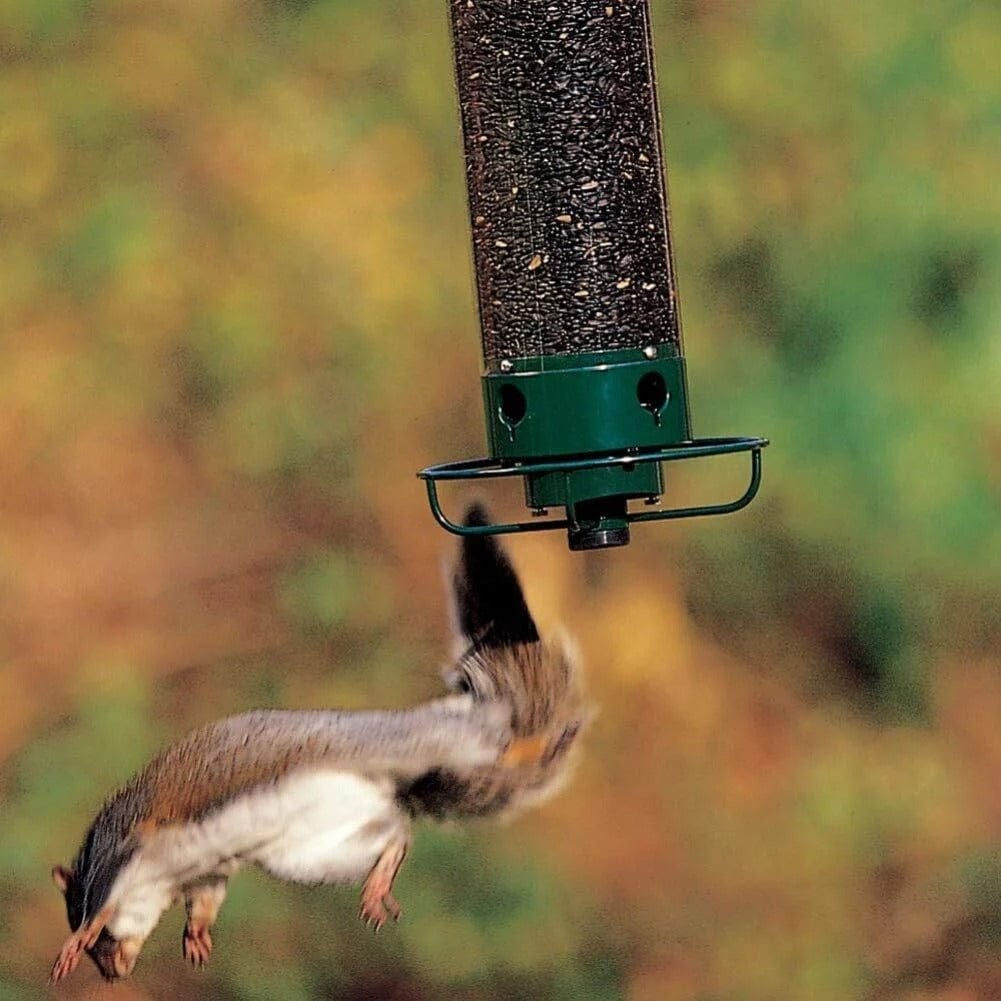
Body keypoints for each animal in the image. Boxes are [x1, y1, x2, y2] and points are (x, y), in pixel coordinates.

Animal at [49, 505, 590, 984]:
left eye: (95, 938)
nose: (113, 974)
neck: (161, 879)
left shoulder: (128, 849)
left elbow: (105, 903)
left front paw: (79, 940)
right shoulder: (204, 875)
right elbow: (205, 901)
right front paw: (197, 936)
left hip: (421, 750)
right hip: (316, 853)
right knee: (396, 832)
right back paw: (379, 880)